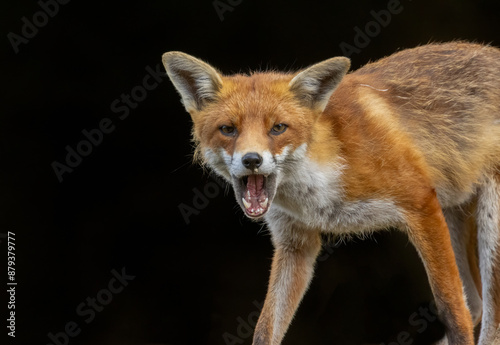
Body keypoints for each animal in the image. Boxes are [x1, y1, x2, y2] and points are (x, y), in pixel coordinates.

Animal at [162, 42, 500, 344]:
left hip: (488, 225)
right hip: (453, 213)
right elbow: (265, 328)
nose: (252, 160)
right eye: (228, 129)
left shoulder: (421, 203)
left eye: (278, 128)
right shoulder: (295, 243)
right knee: (476, 302)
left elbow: (451, 309)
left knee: (487, 318)